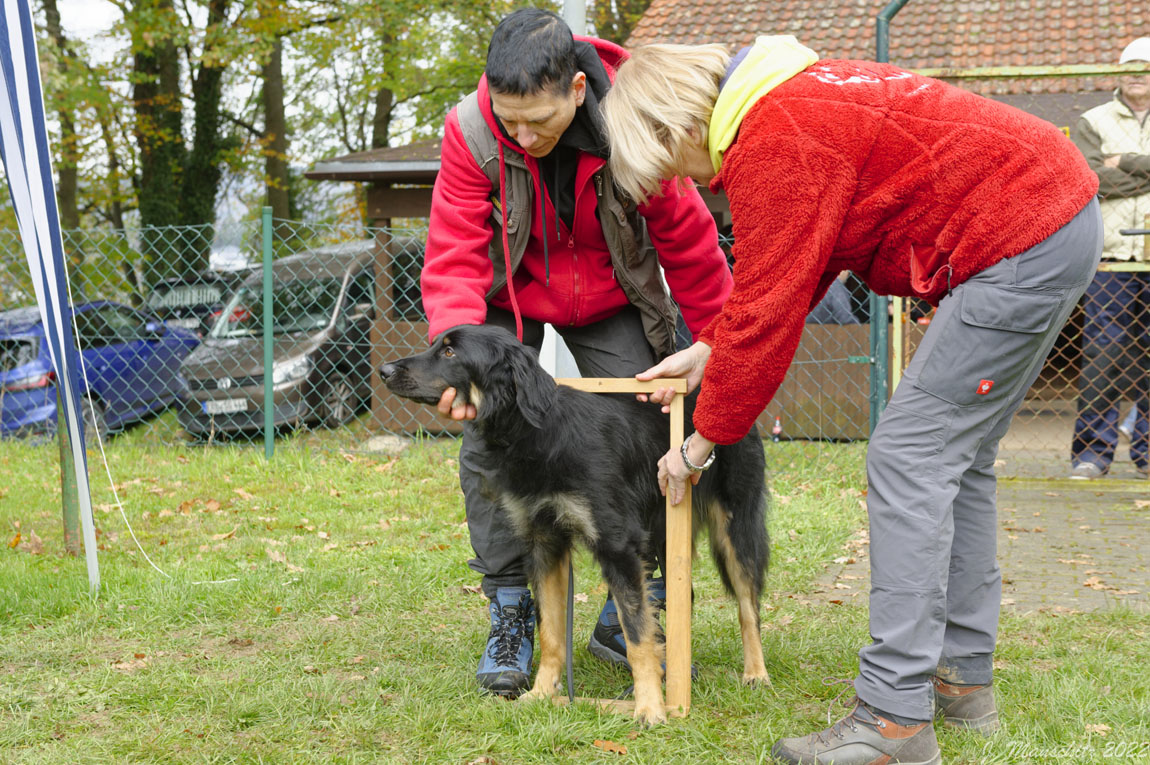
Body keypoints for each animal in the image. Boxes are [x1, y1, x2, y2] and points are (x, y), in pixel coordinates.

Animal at [381, 324, 768, 727]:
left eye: (450, 353)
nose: (384, 370)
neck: (539, 433)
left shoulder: (618, 545)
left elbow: (637, 635)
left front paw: (649, 707)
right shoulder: (545, 545)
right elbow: (552, 633)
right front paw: (541, 694)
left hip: (735, 531)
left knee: (748, 605)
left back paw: (755, 673)